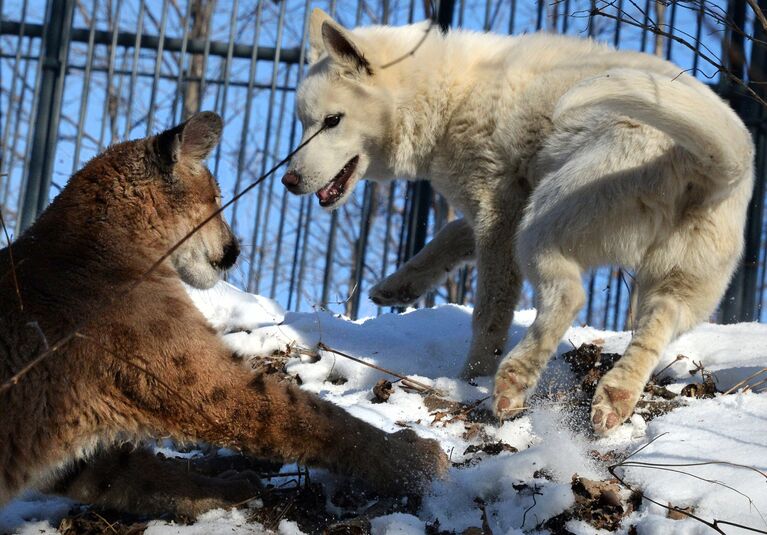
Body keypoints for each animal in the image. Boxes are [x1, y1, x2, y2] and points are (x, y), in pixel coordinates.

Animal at [284, 9, 756, 436]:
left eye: (332, 121)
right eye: (303, 123)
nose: (288, 181)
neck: (450, 95)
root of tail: (709, 163)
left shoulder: (499, 215)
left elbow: (489, 313)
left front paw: (469, 376)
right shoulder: (497, 210)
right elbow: (450, 235)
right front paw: (399, 285)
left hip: (540, 226)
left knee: (568, 296)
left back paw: (511, 383)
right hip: (678, 284)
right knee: (655, 325)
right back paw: (615, 398)